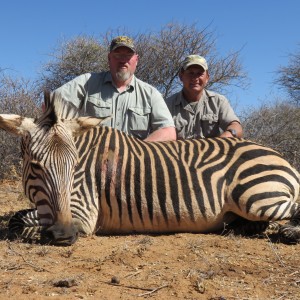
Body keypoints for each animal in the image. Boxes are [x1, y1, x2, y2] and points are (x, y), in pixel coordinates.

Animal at [0, 92, 298, 246]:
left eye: (75, 166)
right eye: (36, 166)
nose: (64, 235)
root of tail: (282, 159)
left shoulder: (83, 213)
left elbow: (23, 227)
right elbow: (17, 218)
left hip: (255, 195)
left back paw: (289, 232)